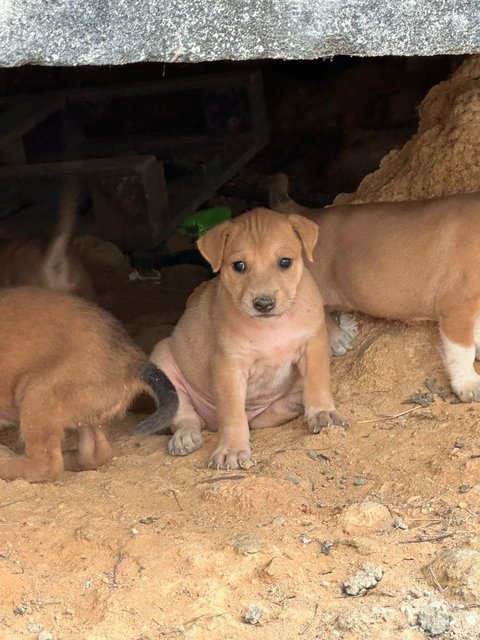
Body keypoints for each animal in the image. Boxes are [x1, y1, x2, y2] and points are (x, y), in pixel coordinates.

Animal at [141, 209, 346, 470]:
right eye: (239, 266)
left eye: (285, 262)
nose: (264, 304)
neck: (272, 326)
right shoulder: (229, 366)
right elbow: (232, 414)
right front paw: (232, 450)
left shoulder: (313, 344)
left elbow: (317, 383)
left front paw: (322, 412)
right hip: (163, 361)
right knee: (188, 417)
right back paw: (184, 436)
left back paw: (296, 403)